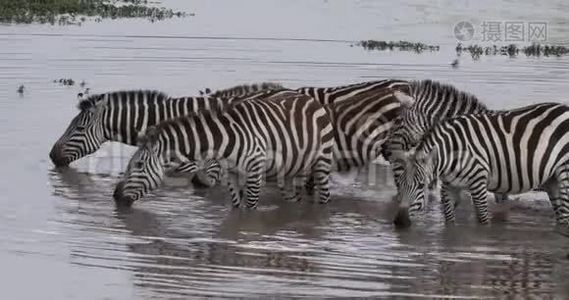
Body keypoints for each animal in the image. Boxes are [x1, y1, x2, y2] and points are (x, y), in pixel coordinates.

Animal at [112, 91, 332, 207]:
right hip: (288, 171)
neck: (223, 142)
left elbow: (250, 210)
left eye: (139, 165)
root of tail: (307, 97)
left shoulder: (254, 172)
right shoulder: (232, 174)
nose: (116, 196)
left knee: (324, 197)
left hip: (322, 162)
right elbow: (236, 208)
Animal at [392, 102, 569, 229]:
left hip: (565, 173)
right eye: (399, 184)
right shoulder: (449, 187)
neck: (453, 151)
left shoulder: (478, 183)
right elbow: (449, 221)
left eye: (421, 185)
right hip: (552, 180)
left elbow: (483, 220)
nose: (400, 222)